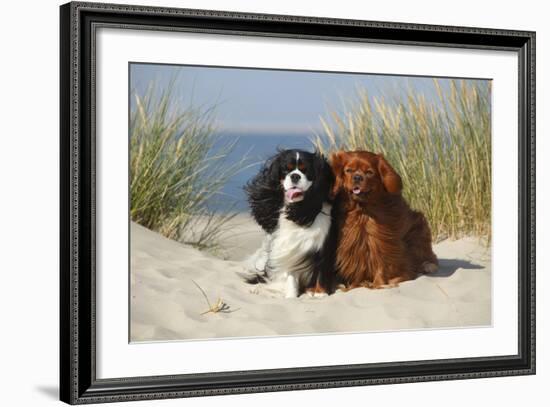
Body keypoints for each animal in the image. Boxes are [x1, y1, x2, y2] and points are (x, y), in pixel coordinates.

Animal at [245, 150, 338, 300]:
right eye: (285, 170)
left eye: (306, 170)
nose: (295, 176)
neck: (298, 209)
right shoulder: (290, 247)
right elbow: (291, 275)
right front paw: (291, 296)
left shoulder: (324, 245)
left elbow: (321, 270)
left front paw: (320, 293)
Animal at [332, 151, 440, 290]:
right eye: (348, 170)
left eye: (369, 172)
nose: (357, 177)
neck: (362, 211)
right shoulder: (352, 247)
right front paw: (353, 285)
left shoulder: (381, 243)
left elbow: (381, 265)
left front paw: (380, 284)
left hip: (419, 227)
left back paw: (427, 266)